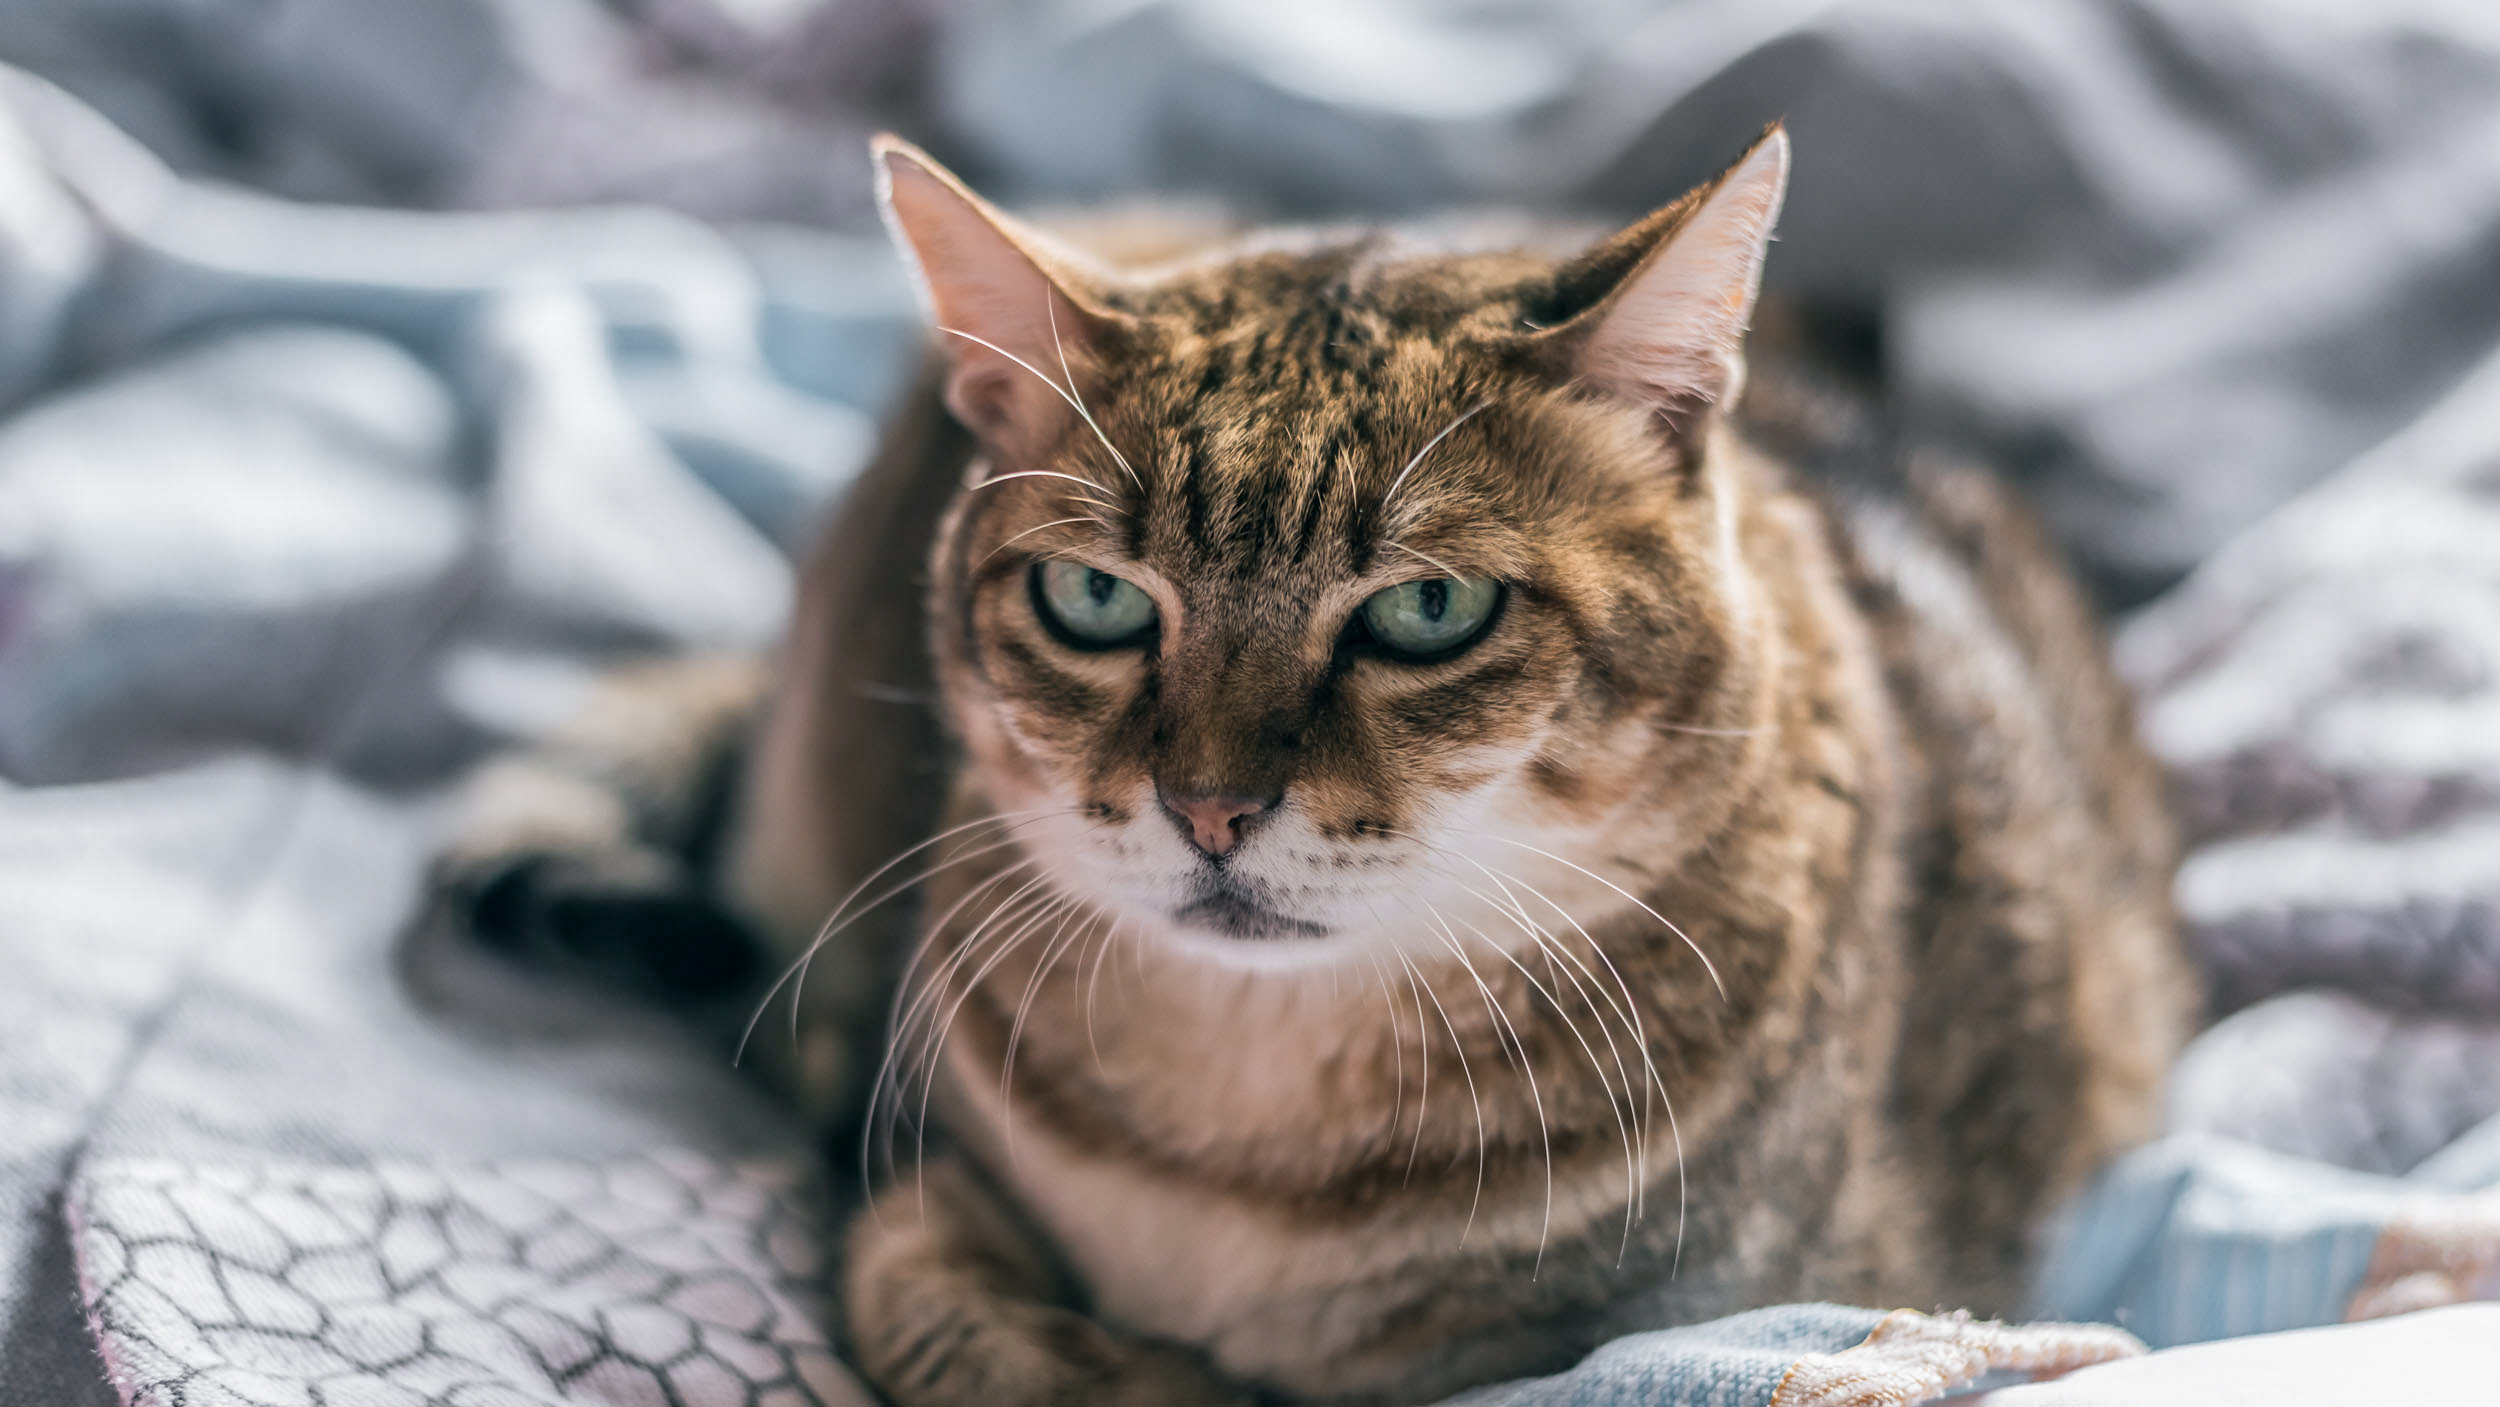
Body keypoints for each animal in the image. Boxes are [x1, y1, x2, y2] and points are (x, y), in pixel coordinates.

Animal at [440, 129, 2200, 1407]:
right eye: (1093, 600)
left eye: (1429, 609)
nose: (1209, 806)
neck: (1248, 1130)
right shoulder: (913, 1157)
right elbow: (929, 1298)